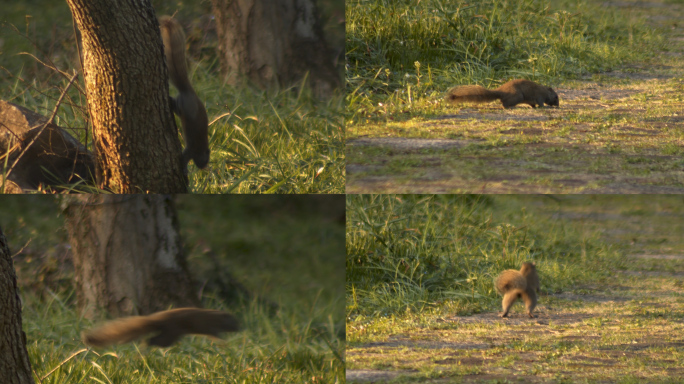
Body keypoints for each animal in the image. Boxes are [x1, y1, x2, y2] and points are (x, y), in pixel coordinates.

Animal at [82, 306, 239, 348]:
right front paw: (224, 341)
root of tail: (155, 319)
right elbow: (215, 334)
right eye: (234, 323)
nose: (240, 328)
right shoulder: (209, 326)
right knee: (152, 341)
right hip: (171, 334)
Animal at [160, 16, 210, 170]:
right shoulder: (191, 150)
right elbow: (184, 158)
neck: (201, 148)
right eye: (205, 159)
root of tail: (189, 91)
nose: (203, 167)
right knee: (176, 105)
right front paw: (184, 170)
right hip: (184, 106)